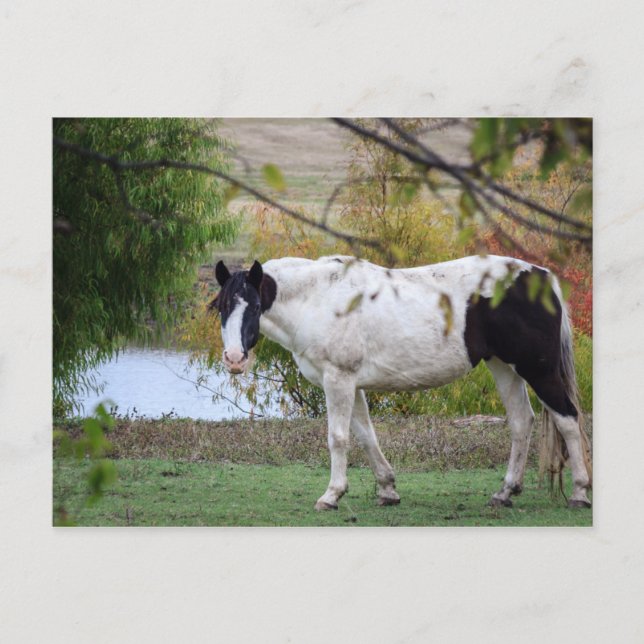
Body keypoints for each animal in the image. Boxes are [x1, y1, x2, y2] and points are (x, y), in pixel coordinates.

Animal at [210, 254, 592, 511]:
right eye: (222, 307)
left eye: (255, 306)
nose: (234, 358)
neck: (319, 299)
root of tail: (542, 277)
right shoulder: (352, 385)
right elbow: (366, 436)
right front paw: (387, 489)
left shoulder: (339, 380)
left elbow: (338, 439)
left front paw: (332, 495)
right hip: (504, 367)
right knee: (521, 423)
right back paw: (505, 492)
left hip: (539, 371)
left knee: (568, 420)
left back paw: (579, 492)